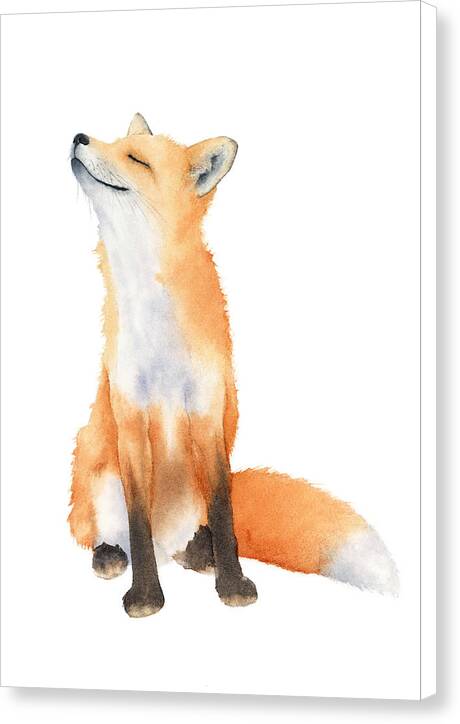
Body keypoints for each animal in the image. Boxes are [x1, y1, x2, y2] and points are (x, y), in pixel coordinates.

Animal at [69, 113, 398, 617]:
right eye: (118, 145)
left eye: (136, 159)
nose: (79, 137)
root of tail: (171, 542)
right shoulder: (130, 415)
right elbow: (138, 519)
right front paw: (146, 597)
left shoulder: (207, 408)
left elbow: (225, 509)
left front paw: (233, 583)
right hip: (94, 467)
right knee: (111, 531)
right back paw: (111, 555)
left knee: (200, 532)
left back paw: (200, 554)